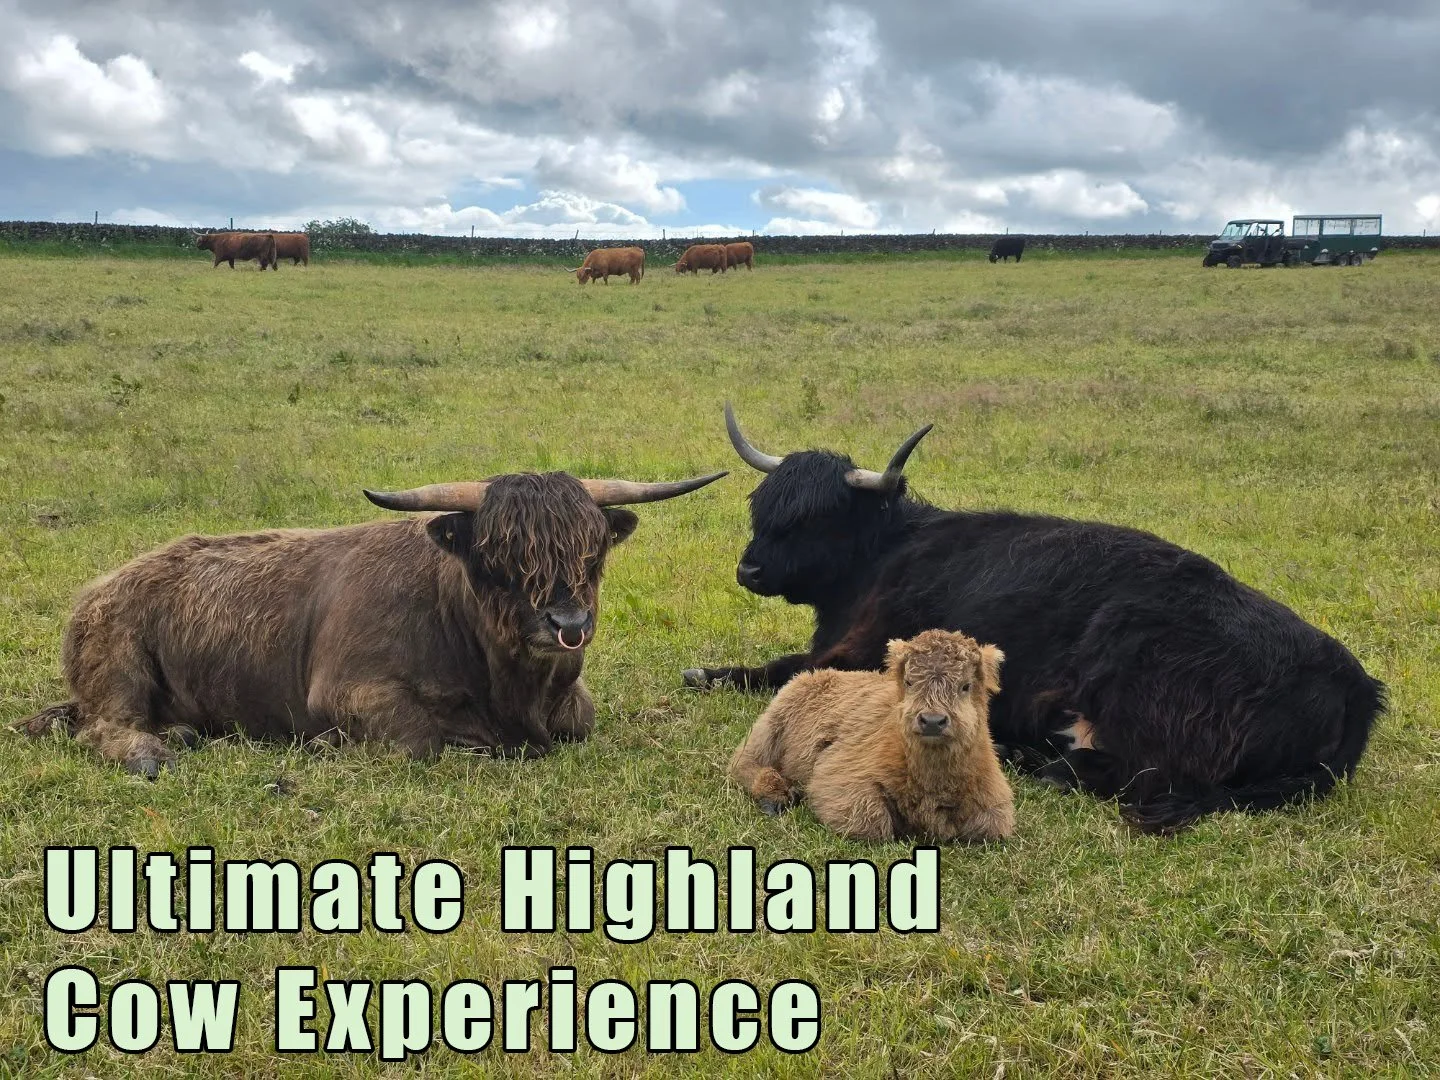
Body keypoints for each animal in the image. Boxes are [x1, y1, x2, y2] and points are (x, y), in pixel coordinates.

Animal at [19, 468, 725, 777]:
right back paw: (155, 749)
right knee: (105, 727)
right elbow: (421, 740)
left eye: (593, 552)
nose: (567, 623)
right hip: (119, 666)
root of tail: (99, 590)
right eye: (497, 556)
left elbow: (580, 718)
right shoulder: (350, 693)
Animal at [682, 404, 1386, 834]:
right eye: (764, 505)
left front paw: (707, 674)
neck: (885, 552)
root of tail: (1354, 684)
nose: (749, 570)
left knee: (1135, 775)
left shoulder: (862, 653)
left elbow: (785, 670)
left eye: (815, 517)